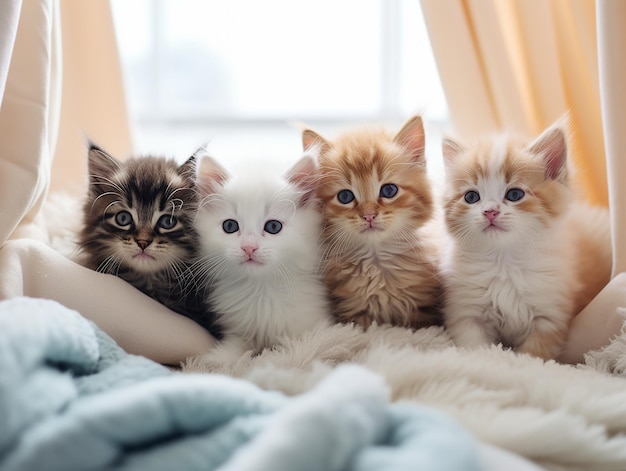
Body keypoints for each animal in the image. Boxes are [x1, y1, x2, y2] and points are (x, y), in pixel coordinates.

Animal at [194, 153, 332, 364]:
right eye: (230, 226)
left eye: (273, 227)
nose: (249, 247)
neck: (261, 290)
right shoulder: (238, 331)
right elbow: (235, 349)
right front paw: (216, 358)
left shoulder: (309, 326)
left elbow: (295, 350)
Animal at [302, 115, 438, 330]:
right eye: (345, 196)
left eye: (389, 191)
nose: (369, 215)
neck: (377, 264)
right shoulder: (356, 315)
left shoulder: (422, 313)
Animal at [438, 119, 608, 362]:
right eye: (471, 197)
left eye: (515, 195)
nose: (490, 211)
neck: (504, 263)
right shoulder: (467, 312)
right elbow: (475, 346)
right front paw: (481, 361)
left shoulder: (549, 315)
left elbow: (531, 356)